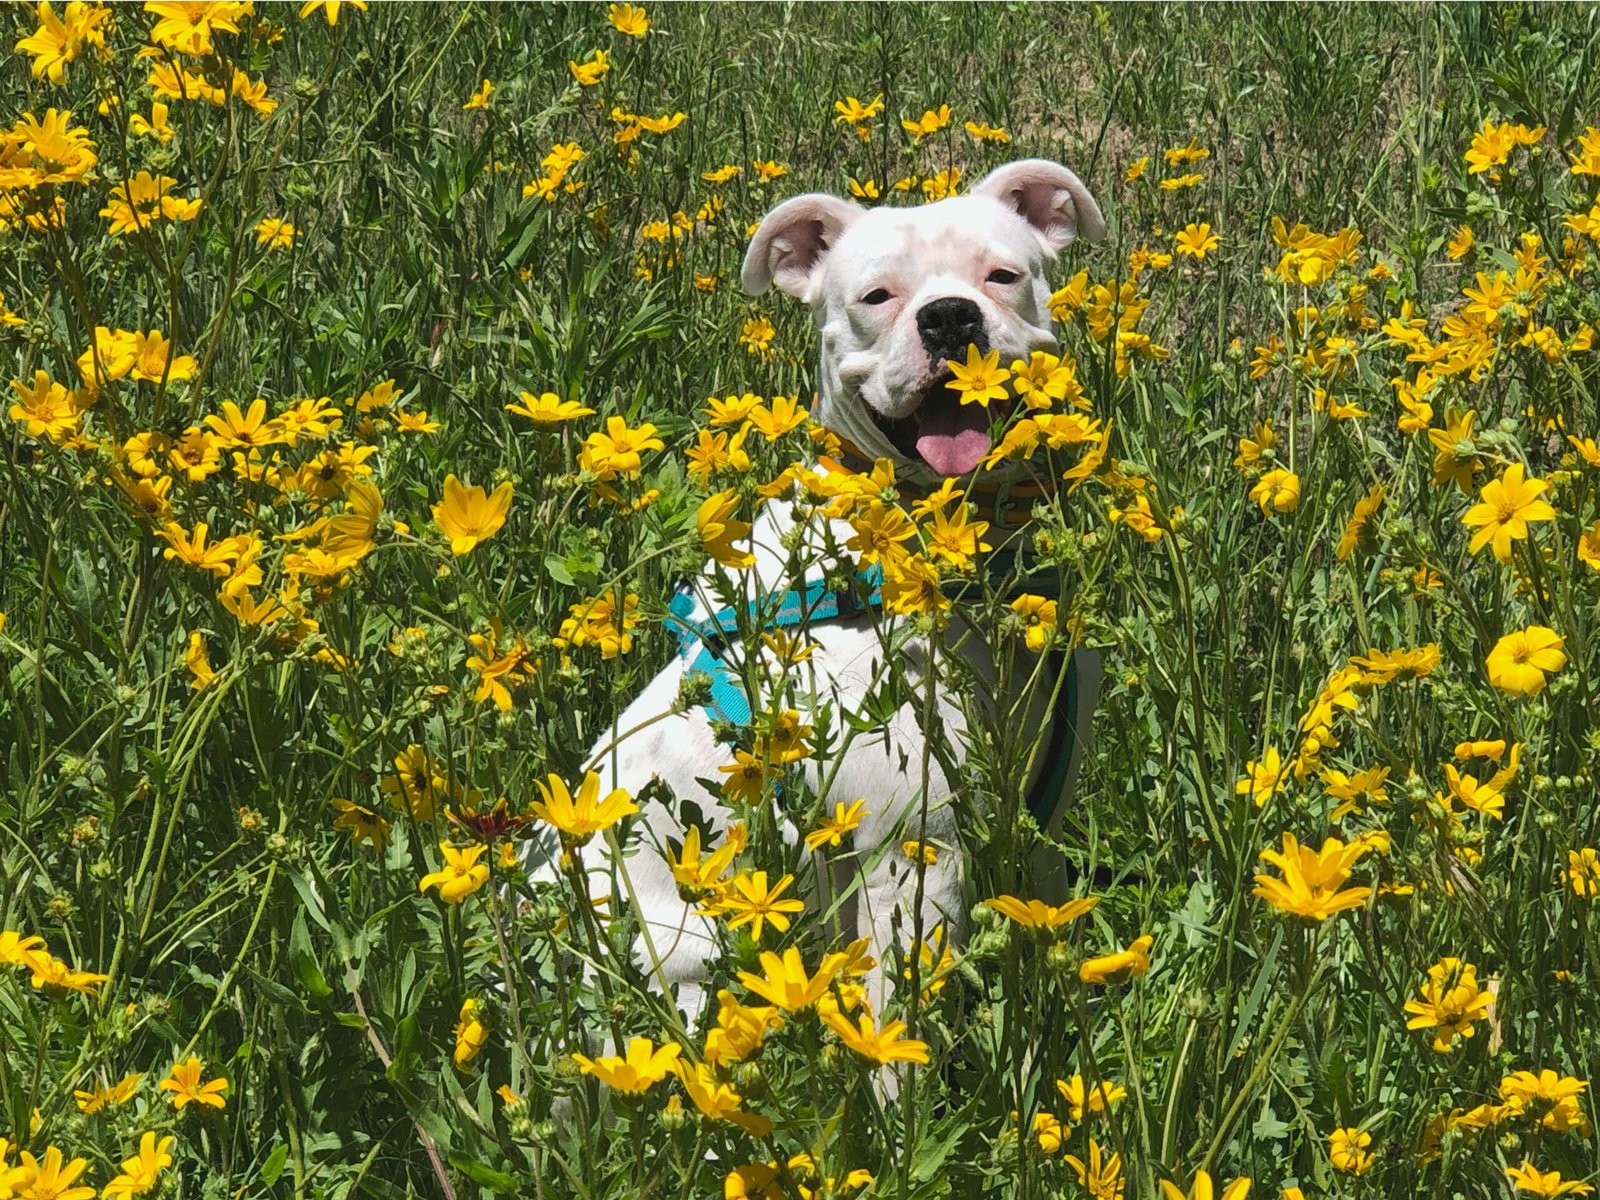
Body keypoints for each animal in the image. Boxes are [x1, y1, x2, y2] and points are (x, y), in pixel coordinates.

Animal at [582, 157, 1107, 1024]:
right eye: (876, 296)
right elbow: (902, 1018)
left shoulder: (1039, 823)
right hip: (692, 970)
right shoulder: (915, 853)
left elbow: (1046, 931)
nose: (950, 319)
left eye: (1003, 276)